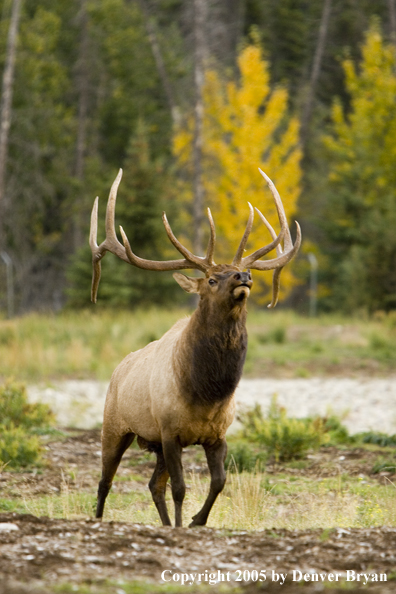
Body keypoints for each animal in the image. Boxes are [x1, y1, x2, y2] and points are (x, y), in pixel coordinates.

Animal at [89, 166, 300, 524]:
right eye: (213, 279)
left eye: (238, 271)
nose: (244, 276)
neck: (206, 393)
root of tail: (119, 368)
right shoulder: (170, 432)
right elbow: (180, 489)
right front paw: (182, 524)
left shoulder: (216, 436)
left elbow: (219, 482)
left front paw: (196, 520)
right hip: (115, 424)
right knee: (105, 481)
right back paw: (98, 519)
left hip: (153, 442)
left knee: (152, 485)